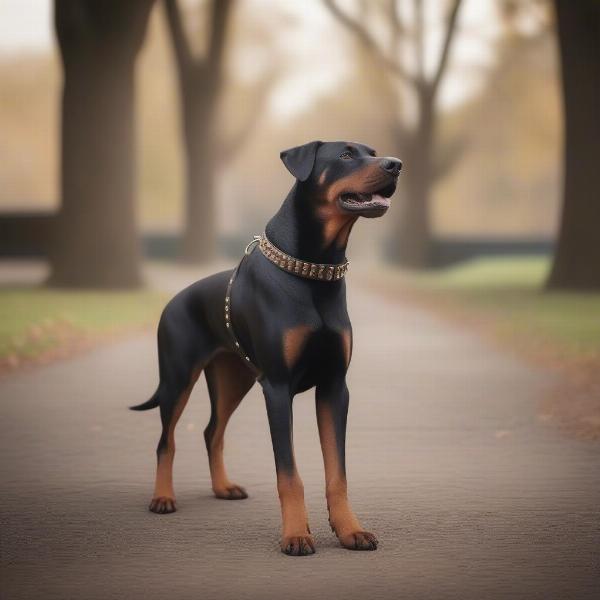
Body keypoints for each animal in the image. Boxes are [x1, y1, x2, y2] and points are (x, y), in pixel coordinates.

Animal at [134, 139, 400, 552]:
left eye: (373, 152)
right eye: (345, 155)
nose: (396, 165)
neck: (313, 271)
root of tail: (174, 301)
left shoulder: (334, 387)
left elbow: (337, 473)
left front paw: (350, 529)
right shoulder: (277, 387)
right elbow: (288, 474)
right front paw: (296, 534)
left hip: (233, 379)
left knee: (212, 432)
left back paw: (223, 487)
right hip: (178, 378)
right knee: (167, 440)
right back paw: (163, 497)